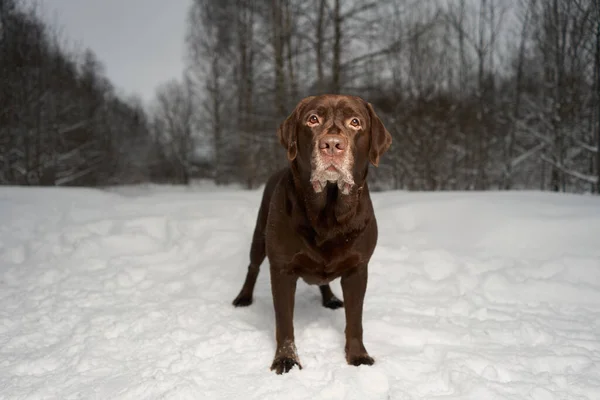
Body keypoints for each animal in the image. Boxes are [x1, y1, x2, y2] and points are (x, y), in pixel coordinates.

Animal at [232, 94, 392, 376]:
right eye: (313, 119)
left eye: (355, 122)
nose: (332, 145)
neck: (327, 211)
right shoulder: (282, 270)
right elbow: (284, 322)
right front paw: (286, 359)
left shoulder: (358, 269)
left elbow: (355, 320)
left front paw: (358, 356)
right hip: (259, 236)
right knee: (253, 266)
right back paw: (243, 297)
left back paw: (330, 298)